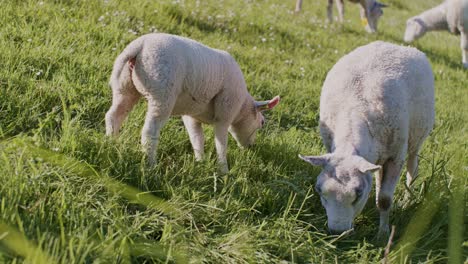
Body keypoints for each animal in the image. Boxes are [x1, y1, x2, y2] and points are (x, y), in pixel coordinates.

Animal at [106, 33, 280, 173]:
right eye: (262, 123)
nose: (251, 148)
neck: (242, 107)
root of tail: (139, 45)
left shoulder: (192, 115)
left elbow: (197, 138)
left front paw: (200, 162)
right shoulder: (224, 115)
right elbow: (221, 144)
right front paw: (224, 171)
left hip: (124, 86)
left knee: (114, 115)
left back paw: (112, 142)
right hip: (162, 93)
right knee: (150, 131)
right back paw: (151, 164)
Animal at [300, 40, 436, 237]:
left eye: (358, 194)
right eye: (319, 190)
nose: (337, 231)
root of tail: (396, 45)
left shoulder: (395, 157)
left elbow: (385, 200)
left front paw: (382, 234)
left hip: (416, 139)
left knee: (413, 169)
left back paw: (407, 200)